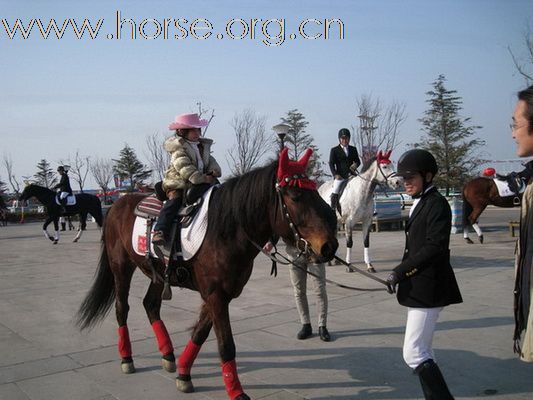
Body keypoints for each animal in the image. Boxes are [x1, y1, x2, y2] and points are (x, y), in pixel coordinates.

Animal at [75, 150, 336, 400]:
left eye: (315, 192)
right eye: (296, 196)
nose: (329, 246)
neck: (226, 230)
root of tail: (117, 204)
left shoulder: (220, 294)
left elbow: (200, 333)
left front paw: (184, 373)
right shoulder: (215, 295)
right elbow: (226, 344)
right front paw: (235, 391)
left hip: (158, 272)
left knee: (150, 304)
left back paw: (168, 354)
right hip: (121, 267)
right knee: (122, 308)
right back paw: (127, 358)